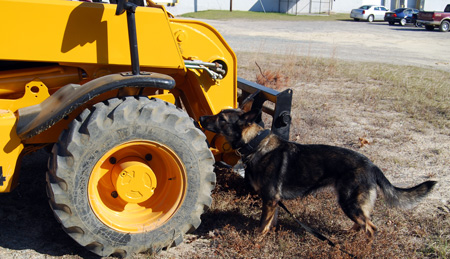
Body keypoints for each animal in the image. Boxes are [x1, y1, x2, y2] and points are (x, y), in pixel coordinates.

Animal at [200, 101, 436, 238]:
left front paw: (256, 241)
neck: (256, 144)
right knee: (363, 223)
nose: (201, 118)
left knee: (371, 228)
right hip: (352, 205)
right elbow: (269, 223)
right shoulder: (274, 201)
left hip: (350, 203)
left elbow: (261, 225)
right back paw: (348, 236)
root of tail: (372, 165)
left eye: (221, 118)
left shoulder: (270, 199)